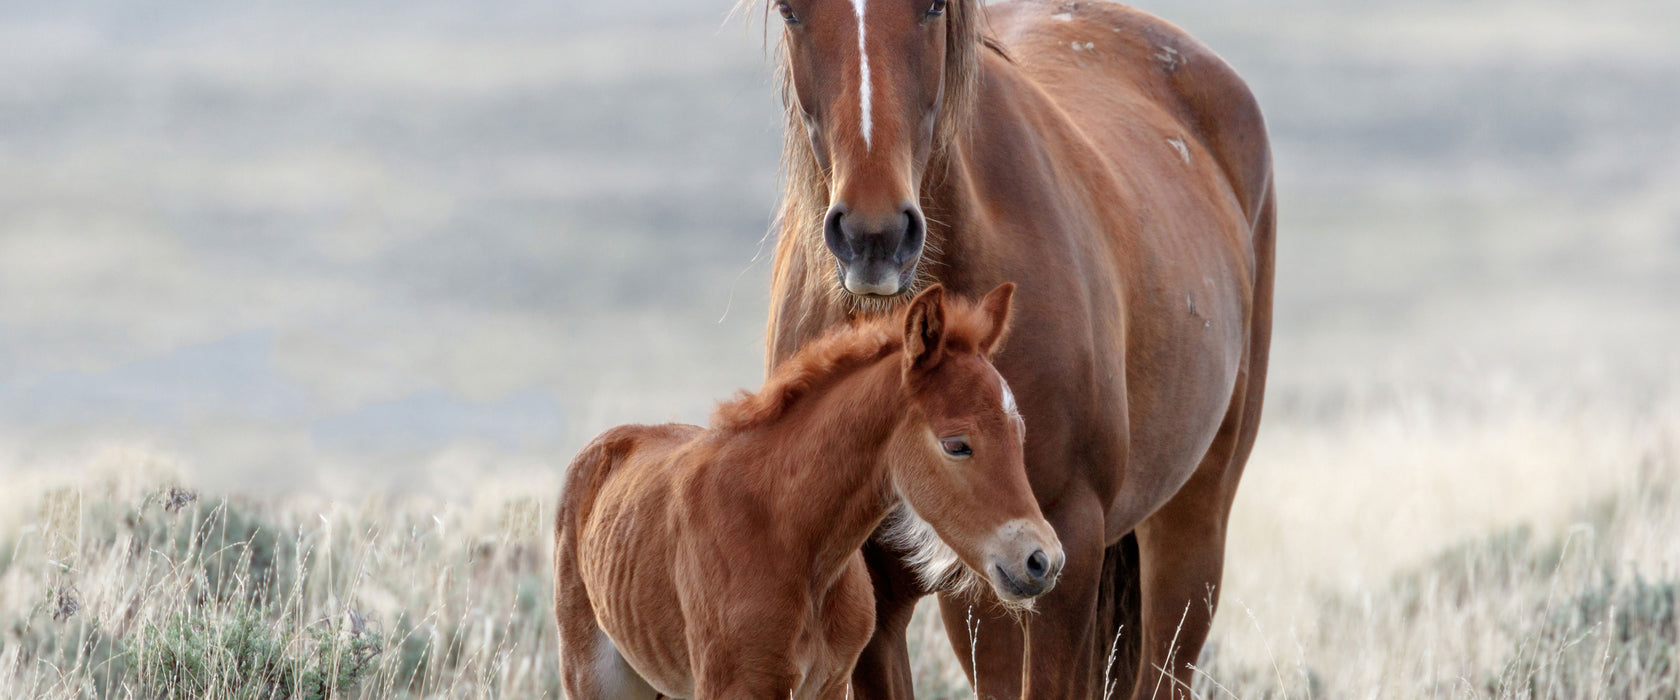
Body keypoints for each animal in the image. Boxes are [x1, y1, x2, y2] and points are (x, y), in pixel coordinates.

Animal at [557, 280, 1068, 694]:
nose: (1043, 560)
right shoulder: (735, 686)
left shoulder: (830, 684)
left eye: (1019, 433)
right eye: (957, 445)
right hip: (594, 677)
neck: (789, 536)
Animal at [762, 0, 1270, 691]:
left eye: (932, 8)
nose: (874, 236)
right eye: (791, 12)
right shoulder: (877, 584)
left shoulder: (1063, 549)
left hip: (1187, 540)